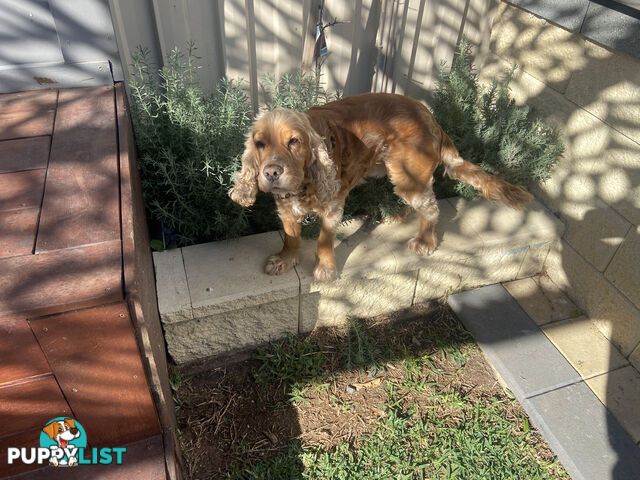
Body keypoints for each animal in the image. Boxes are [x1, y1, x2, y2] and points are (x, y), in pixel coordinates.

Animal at [230, 92, 528, 282]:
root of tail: (430, 117)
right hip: (395, 170)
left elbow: (325, 239)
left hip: (408, 174)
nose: (271, 172)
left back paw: (425, 242)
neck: (304, 181)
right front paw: (285, 260)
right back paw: (398, 216)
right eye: (259, 143)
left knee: (430, 208)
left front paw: (325, 269)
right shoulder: (286, 209)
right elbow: (291, 238)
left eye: (294, 141)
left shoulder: (333, 207)